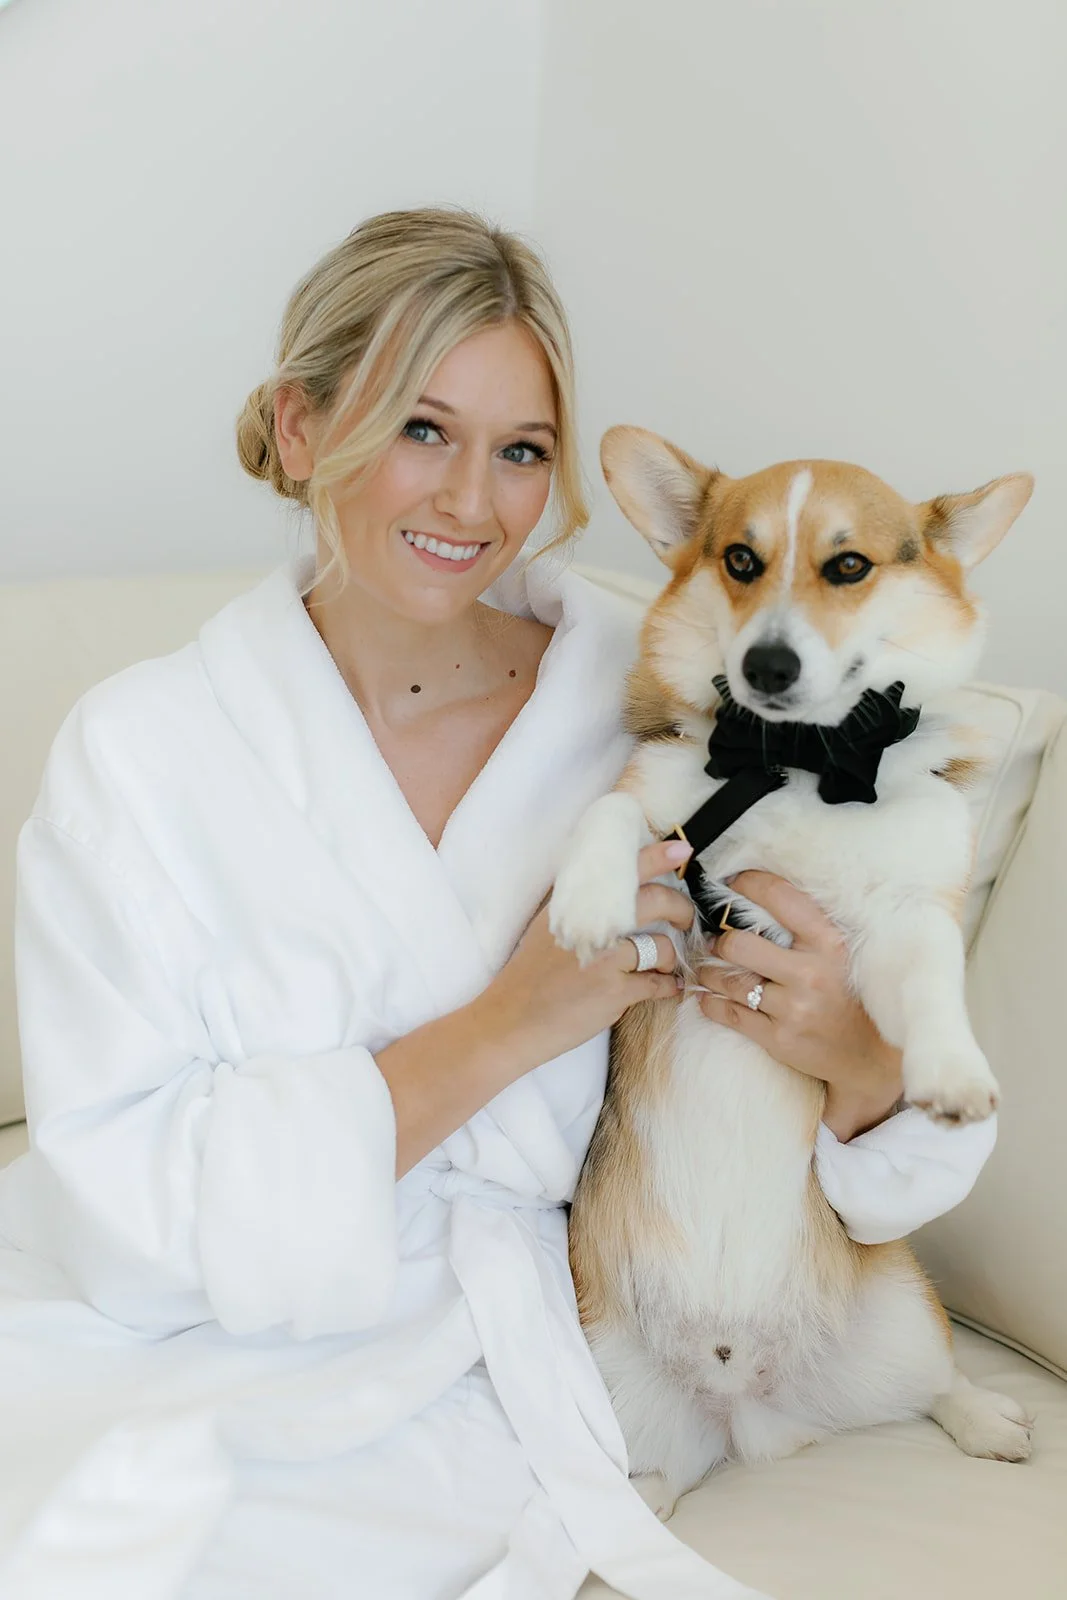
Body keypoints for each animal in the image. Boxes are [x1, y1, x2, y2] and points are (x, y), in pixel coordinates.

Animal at [549, 427, 1035, 1516]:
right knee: (645, 1484)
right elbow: (612, 812)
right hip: (609, 1393)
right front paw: (587, 896)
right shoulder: (670, 831)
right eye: (740, 559)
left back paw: (989, 1416)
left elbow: (929, 981)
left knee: (933, 1382)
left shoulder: (902, 921)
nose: (764, 663)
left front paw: (950, 1074)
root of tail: (746, 1415)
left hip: (904, 1309)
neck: (807, 762)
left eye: (846, 567)